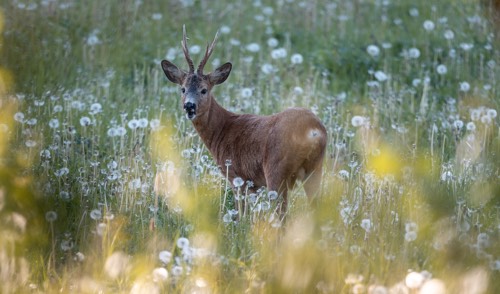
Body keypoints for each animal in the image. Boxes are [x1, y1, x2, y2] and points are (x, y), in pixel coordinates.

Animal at [160, 27, 328, 218]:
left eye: (204, 90)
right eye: (183, 89)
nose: (189, 106)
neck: (221, 130)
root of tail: (313, 130)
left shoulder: (236, 176)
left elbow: (241, 213)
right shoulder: (253, 183)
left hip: (276, 169)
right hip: (315, 169)